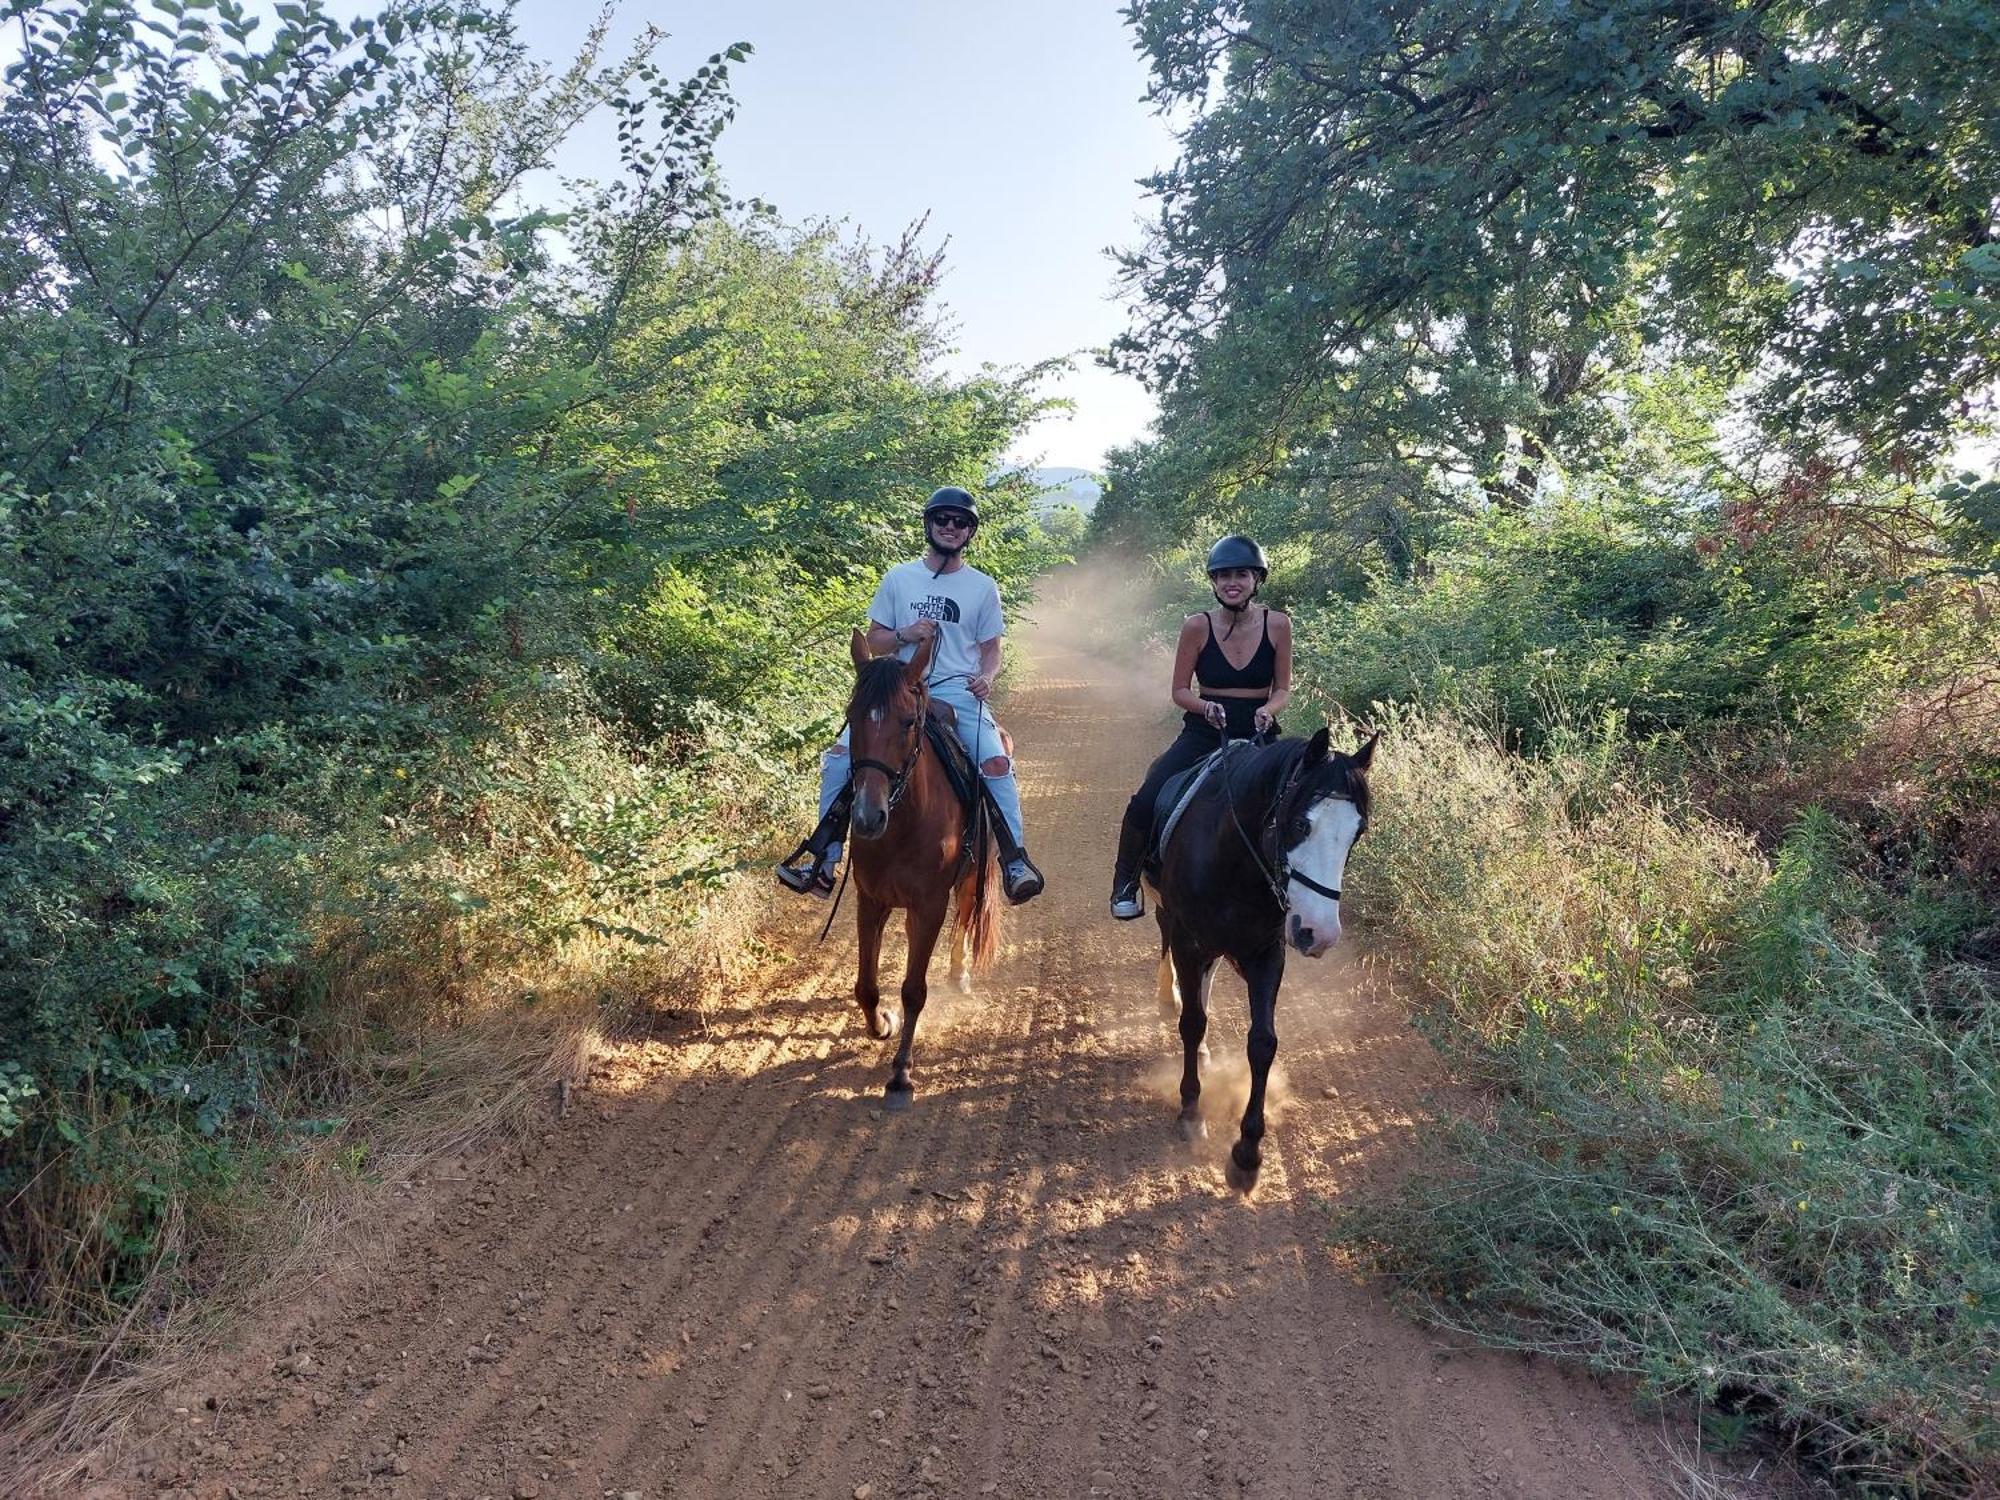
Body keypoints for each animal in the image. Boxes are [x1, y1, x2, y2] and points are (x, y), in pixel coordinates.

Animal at [840, 628, 1000, 1112]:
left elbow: (914, 989)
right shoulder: (871, 900)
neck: (904, 821)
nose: (867, 817)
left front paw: (901, 1075)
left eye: (909, 721)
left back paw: (958, 973)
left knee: (964, 919)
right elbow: (867, 985)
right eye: (851, 717)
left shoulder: (929, 904)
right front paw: (881, 1024)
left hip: (969, 879)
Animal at [1144, 732, 1376, 1200]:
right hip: (1171, 919)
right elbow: (1191, 1022)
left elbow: (1263, 1042)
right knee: (1169, 953)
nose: (1319, 934)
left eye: (1356, 833)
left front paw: (1246, 1154)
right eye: (1301, 824)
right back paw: (1167, 996)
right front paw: (1191, 1112)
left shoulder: (1266, 954)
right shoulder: (1188, 939)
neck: (1234, 863)